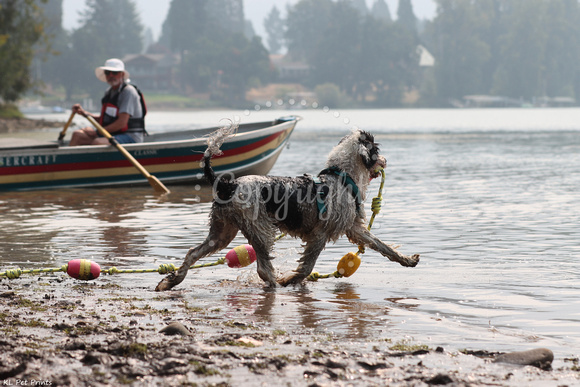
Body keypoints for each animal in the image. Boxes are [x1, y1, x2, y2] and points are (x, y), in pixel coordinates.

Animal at [156, 125, 420, 292]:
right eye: (376, 150)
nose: (386, 161)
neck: (342, 177)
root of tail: (228, 184)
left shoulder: (355, 229)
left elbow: (383, 247)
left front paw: (407, 260)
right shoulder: (319, 235)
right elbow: (307, 266)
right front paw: (291, 280)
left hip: (222, 232)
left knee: (192, 253)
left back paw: (171, 281)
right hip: (260, 230)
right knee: (263, 269)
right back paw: (275, 285)